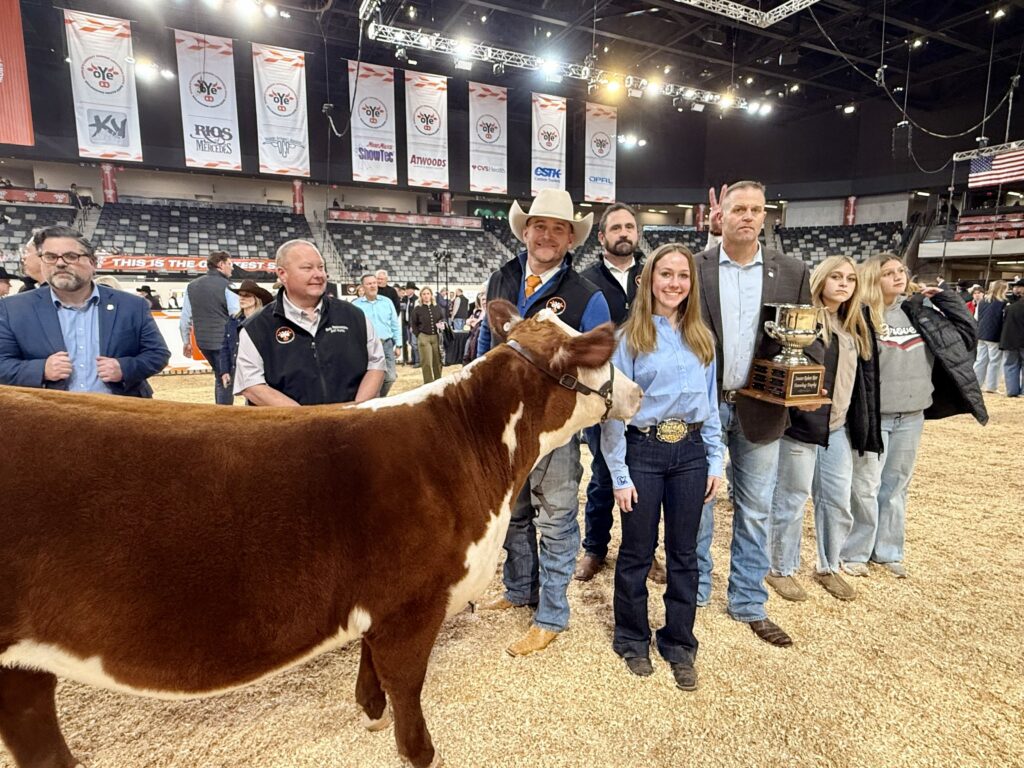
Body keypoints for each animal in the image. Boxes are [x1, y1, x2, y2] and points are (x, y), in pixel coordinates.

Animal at [0, 299, 642, 768]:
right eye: (598, 360)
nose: (636, 393)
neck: (469, 446)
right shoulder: (413, 604)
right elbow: (406, 685)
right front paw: (418, 750)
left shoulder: (378, 604)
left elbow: (370, 664)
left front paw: (370, 712)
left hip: (21, 671)